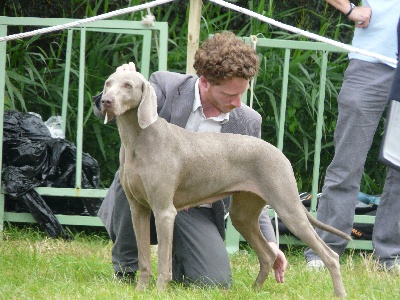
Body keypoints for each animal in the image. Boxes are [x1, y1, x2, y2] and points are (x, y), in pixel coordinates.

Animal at [100, 70, 350, 298]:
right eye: (108, 83)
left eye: (128, 85)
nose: (105, 101)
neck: (137, 140)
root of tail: (279, 153)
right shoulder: (139, 209)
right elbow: (144, 259)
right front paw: (140, 291)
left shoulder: (164, 212)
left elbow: (163, 262)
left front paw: (159, 293)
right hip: (243, 214)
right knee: (268, 254)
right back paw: (254, 291)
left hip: (289, 209)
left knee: (330, 255)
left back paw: (339, 293)